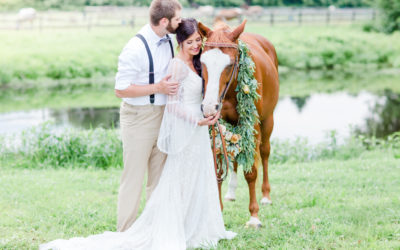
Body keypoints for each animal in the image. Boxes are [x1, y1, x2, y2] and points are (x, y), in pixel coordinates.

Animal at [198, 20, 280, 228]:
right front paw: (218, 212)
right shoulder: (217, 127)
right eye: (202, 62)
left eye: (229, 64)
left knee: (265, 153)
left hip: (267, 121)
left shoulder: (253, 126)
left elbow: (251, 173)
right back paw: (231, 193)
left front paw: (254, 217)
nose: (209, 106)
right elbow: (218, 169)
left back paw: (266, 196)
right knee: (234, 159)